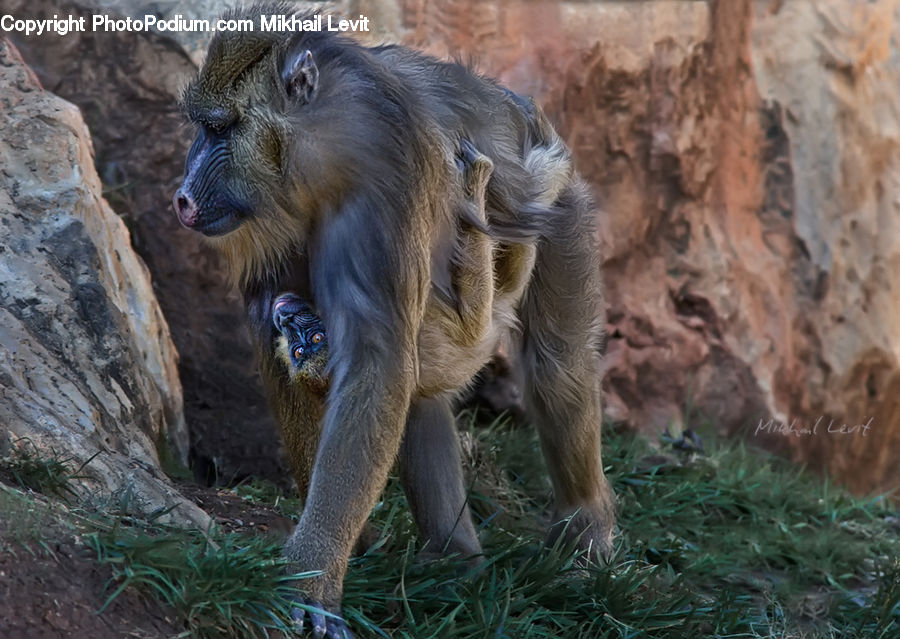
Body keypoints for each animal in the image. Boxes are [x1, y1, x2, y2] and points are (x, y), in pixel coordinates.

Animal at [173, 5, 615, 637]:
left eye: (219, 129)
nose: (184, 198)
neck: (323, 138)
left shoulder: (383, 179)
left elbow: (375, 360)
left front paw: (311, 582)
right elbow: (285, 327)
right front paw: (345, 555)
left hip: (563, 211)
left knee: (560, 370)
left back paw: (587, 539)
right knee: (422, 403)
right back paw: (456, 562)